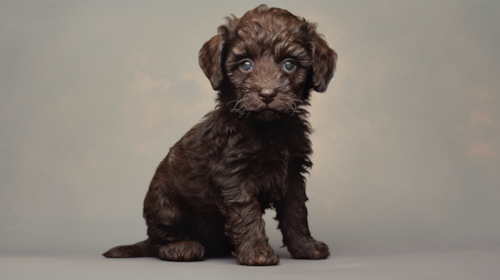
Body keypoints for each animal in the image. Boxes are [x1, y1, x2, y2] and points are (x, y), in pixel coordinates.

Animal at [103, 4, 338, 266]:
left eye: (289, 64)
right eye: (245, 65)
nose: (267, 94)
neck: (269, 129)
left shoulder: (294, 175)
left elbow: (296, 212)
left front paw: (305, 247)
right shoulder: (233, 177)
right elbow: (247, 214)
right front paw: (257, 252)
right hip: (166, 207)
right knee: (160, 242)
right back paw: (180, 247)